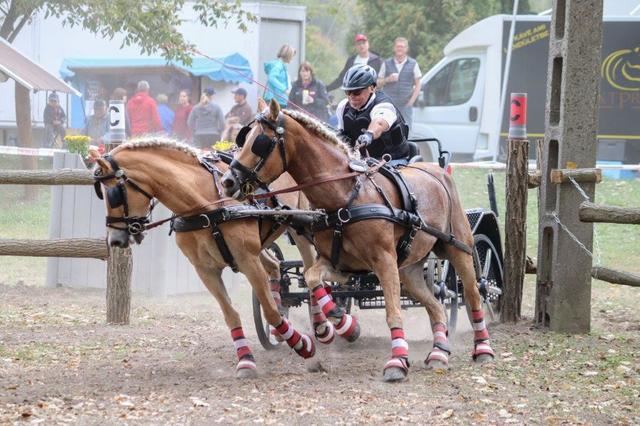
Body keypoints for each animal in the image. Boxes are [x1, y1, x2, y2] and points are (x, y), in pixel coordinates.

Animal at [89, 140, 330, 380]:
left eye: (114, 193)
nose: (115, 240)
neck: (205, 205)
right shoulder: (205, 270)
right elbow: (231, 315)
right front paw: (246, 360)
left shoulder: (247, 260)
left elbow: (270, 312)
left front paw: (303, 345)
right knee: (275, 267)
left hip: (301, 225)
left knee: (309, 271)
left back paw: (324, 326)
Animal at [221, 99, 496, 382]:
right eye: (244, 137)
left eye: (260, 141)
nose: (227, 181)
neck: (345, 196)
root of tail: (437, 170)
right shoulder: (338, 263)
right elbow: (313, 278)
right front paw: (342, 322)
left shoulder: (384, 261)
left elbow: (392, 312)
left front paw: (397, 360)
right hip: (409, 269)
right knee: (435, 306)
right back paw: (439, 352)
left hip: (459, 249)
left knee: (472, 294)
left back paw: (483, 347)